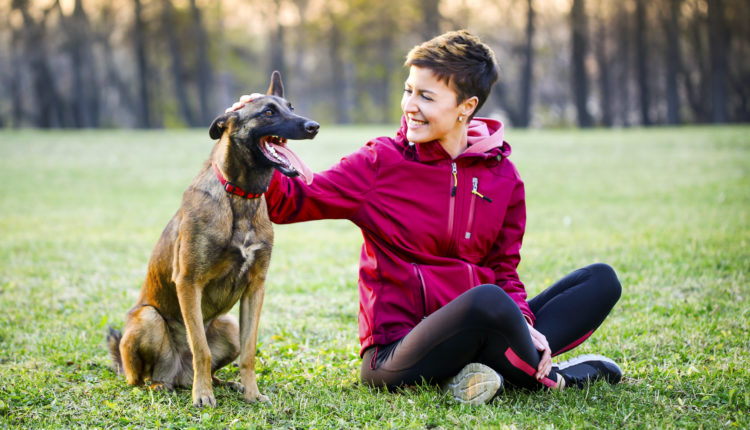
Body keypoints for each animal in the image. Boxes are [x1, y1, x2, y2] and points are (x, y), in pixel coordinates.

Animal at [106, 72, 318, 408]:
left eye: (291, 107)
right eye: (268, 112)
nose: (313, 126)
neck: (240, 197)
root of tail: (178, 374)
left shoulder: (255, 288)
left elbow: (249, 352)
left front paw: (252, 392)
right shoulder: (188, 282)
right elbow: (200, 348)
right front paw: (203, 395)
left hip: (228, 326)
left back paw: (225, 383)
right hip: (147, 318)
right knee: (141, 378)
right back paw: (165, 385)